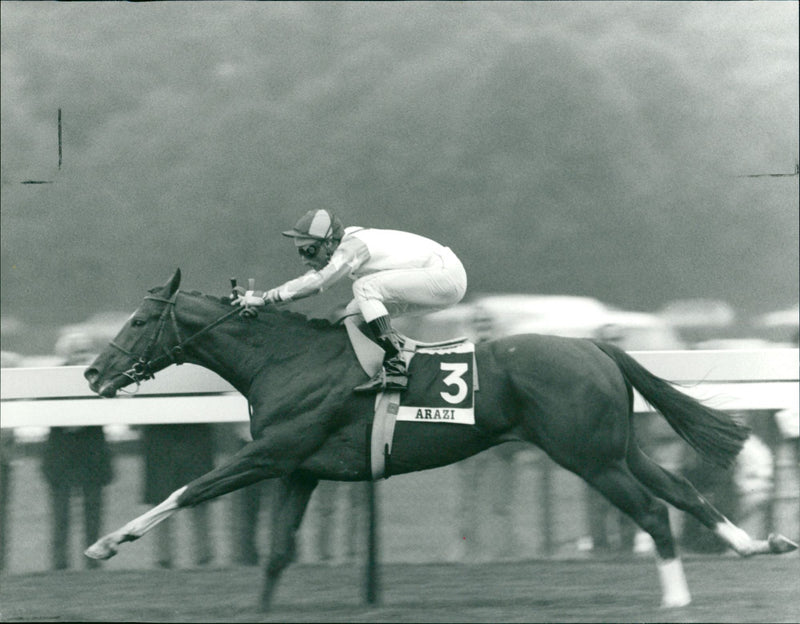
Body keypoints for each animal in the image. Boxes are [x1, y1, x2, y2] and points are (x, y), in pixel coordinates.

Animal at [84, 270, 796, 608]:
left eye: (141, 319)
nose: (92, 373)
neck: (284, 359)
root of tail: (597, 343)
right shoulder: (301, 470)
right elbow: (278, 553)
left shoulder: (271, 454)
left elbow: (187, 491)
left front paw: (105, 544)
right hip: (615, 447)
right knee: (682, 490)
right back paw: (756, 544)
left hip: (588, 457)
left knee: (651, 509)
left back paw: (677, 598)